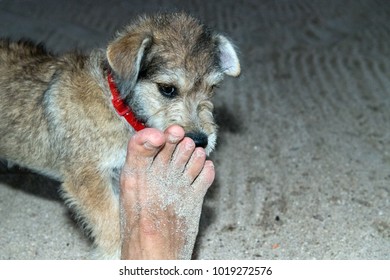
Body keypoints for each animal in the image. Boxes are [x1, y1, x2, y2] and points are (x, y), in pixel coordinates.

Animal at [0, 12, 241, 258]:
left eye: (212, 89)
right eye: (167, 89)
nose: (201, 141)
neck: (117, 106)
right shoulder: (89, 180)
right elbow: (111, 224)